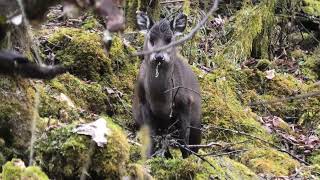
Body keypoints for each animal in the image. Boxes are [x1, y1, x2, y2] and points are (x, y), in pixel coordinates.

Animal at [133, 11, 202, 158]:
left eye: (169, 39)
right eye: (151, 39)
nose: (159, 56)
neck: (161, 101)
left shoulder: (185, 104)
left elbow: (184, 138)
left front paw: (186, 160)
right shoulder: (143, 104)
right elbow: (150, 137)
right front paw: (148, 158)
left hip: (197, 123)